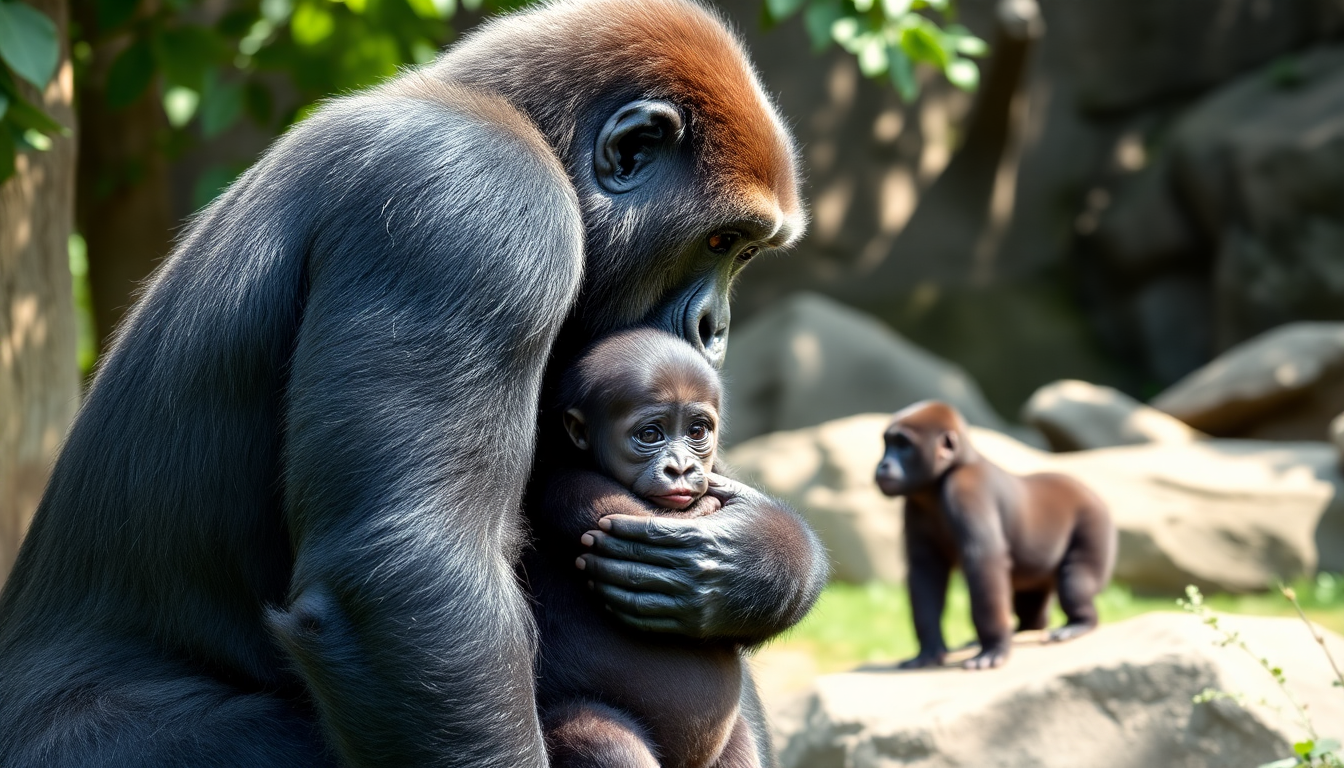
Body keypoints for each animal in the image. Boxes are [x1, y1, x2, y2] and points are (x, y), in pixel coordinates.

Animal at [874, 401, 1116, 670]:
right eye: (887, 444)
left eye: (903, 445)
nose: (883, 465)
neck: (943, 477)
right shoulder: (914, 504)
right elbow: (925, 574)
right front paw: (929, 649)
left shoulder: (967, 490)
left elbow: (984, 564)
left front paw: (994, 647)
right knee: (1032, 605)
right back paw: (1023, 628)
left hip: (1095, 520)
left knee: (1076, 581)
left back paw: (1080, 622)